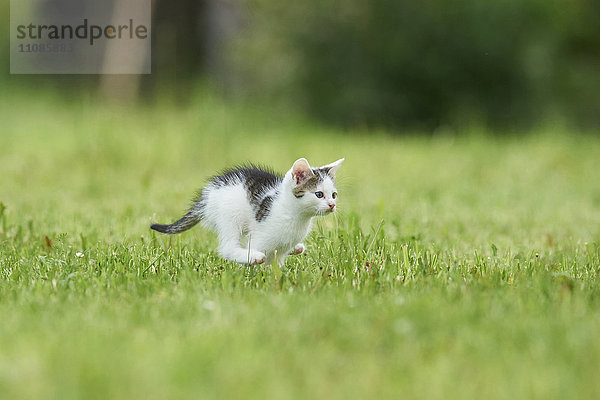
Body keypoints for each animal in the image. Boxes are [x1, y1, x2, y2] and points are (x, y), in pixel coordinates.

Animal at [150, 157, 344, 266]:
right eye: (319, 194)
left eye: (334, 195)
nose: (332, 205)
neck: (295, 216)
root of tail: (208, 194)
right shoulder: (260, 238)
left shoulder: (280, 250)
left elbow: (277, 264)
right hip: (230, 214)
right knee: (228, 248)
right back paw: (253, 257)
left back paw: (296, 248)